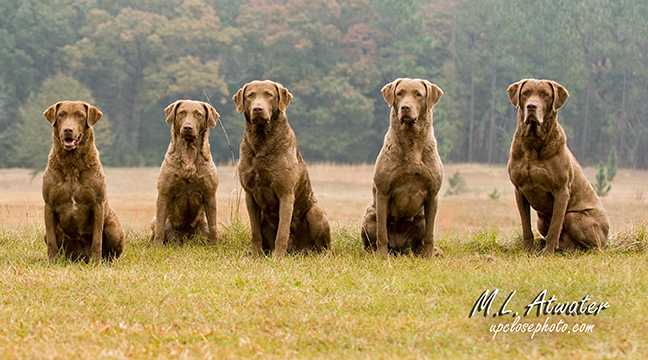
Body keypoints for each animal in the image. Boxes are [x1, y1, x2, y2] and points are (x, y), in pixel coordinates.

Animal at [151, 99, 220, 245]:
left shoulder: (210, 195)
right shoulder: (164, 193)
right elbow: (160, 225)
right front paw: (157, 247)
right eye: (181, 113)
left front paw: (214, 246)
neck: (189, 154)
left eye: (198, 114)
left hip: (202, 224)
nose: (188, 127)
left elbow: (213, 225)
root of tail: (185, 239)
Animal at [233, 80, 332, 258]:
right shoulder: (249, 194)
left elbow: (282, 230)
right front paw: (256, 253)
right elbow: (255, 231)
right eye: (250, 95)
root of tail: (298, 250)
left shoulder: (286, 193)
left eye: (269, 94)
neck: (262, 142)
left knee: (325, 245)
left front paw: (278, 256)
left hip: (316, 211)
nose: (257, 108)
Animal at [360, 77, 446, 258]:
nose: (405, 107)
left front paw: (429, 256)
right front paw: (382, 257)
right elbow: (382, 232)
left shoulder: (433, 194)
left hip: (420, 219)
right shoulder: (383, 192)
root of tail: (398, 247)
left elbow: (430, 233)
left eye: (418, 94)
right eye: (399, 93)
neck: (411, 142)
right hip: (370, 216)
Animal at [508, 78, 612, 253]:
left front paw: (547, 253)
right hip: (541, 220)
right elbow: (526, 226)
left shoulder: (561, 190)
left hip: (575, 218)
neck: (533, 144)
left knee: (594, 246)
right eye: (526, 93)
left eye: (545, 94)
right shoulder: (519, 190)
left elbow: (555, 226)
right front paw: (528, 251)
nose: (531, 106)